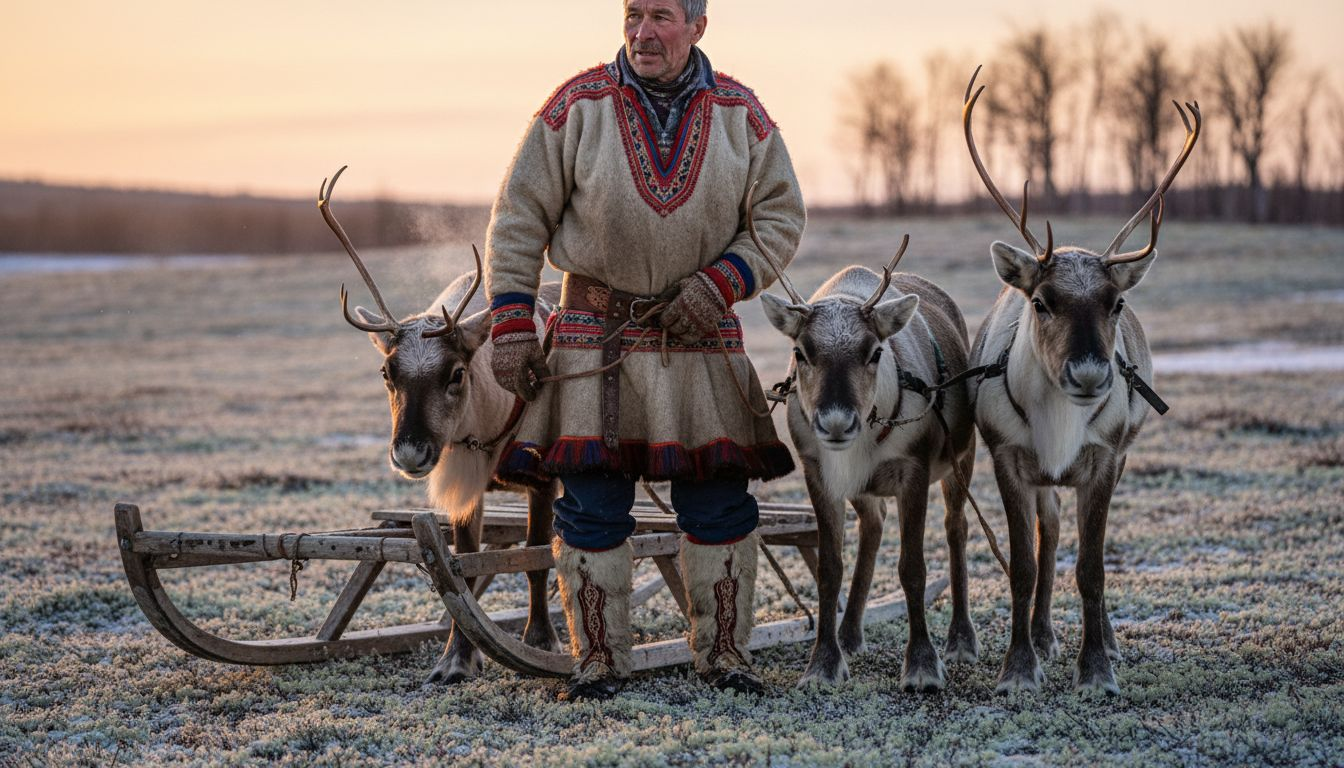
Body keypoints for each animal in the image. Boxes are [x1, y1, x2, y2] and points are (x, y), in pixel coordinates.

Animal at [318, 167, 562, 684]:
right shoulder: (466, 491)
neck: (487, 433)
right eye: (386, 372)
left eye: (456, 373)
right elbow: (463, 572)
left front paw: (541, 641)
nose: (410, 452)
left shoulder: (543, 480)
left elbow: (536, 559)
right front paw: (456, 660)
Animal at [757, 199, 981, 692]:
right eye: (800, 351)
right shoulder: (819, 474)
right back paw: (849, 633)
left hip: (963, 457)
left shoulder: (914, 470)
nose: (837, 423)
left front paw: (922, 666)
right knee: (873, 527)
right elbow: (828, 569)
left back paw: (961, 640)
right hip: (863, 487)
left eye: (875, 351)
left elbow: (913, 569)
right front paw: (823, 663)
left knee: (956, 528)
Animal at [960, 67, 1200, 694]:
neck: (1059, 426)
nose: (1091, 372)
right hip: (1044, 479)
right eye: (1041, 301)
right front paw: (1019, 667)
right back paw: (1043, 635)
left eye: (1116, 303)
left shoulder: (1104, 460)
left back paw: (1107, 640)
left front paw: (1095, 667)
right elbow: (1023, 567)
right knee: (1049, 538)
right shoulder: (1011, 460)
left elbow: (1093, 567)